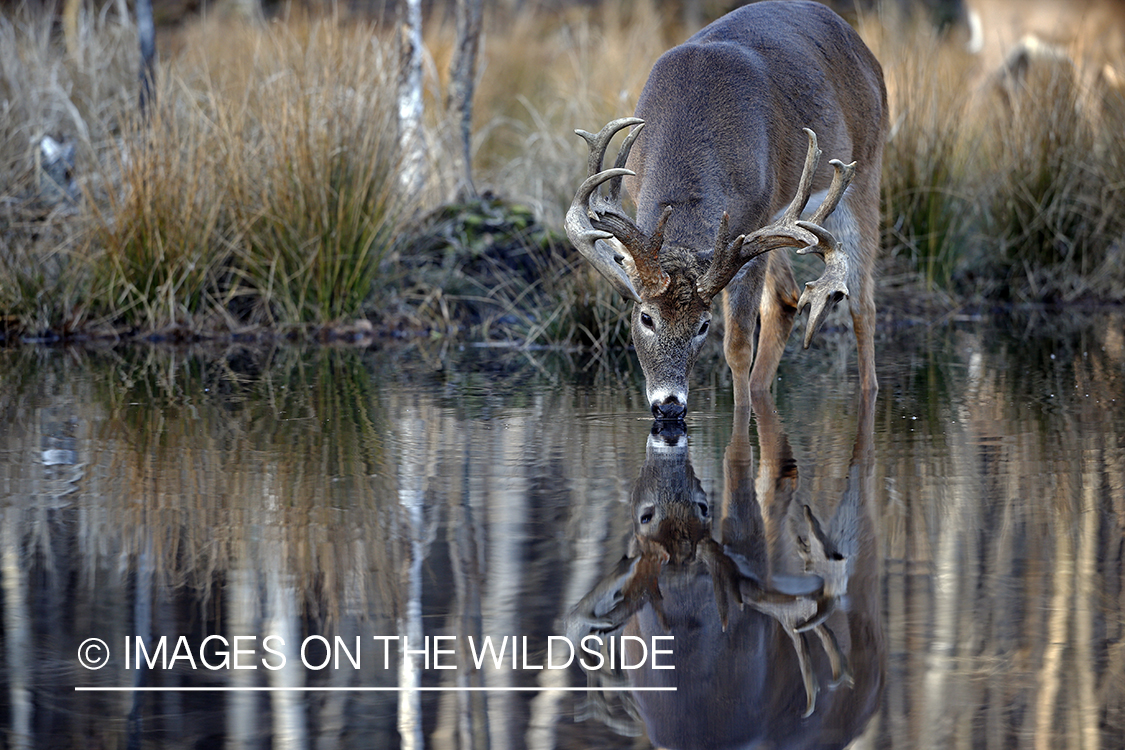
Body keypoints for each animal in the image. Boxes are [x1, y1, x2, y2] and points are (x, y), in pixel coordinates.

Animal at [571, 1, 886, 422]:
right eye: (646, 317)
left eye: (704, 326)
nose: (669, 406)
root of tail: (866, 52)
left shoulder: (753, 219)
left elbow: (737, 346)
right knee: (786, 298)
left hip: (865, 171)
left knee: (862, 302)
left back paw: (868, 393)